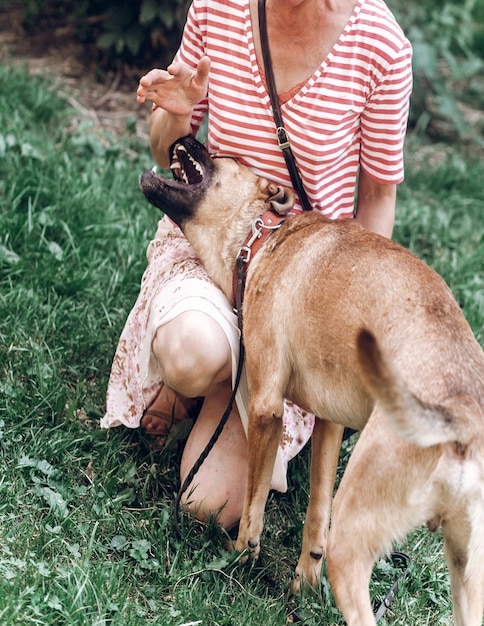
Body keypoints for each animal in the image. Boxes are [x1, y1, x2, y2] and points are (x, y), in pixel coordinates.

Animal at [139, 134, 484, 620]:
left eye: (224, 156)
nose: (183, 136)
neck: (259, 239)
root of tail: (462, 416)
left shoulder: (266, 408)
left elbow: (254, 507)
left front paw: (240, 559)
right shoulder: (330, 425)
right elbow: (317, 512)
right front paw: (302, 583)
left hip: (356, 538)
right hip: (467, 574)